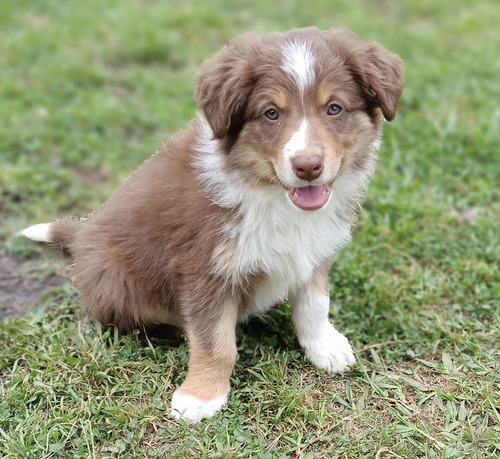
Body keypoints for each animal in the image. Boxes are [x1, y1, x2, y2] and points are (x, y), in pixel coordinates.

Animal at [21, 27, 404, 424]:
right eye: (271, 113)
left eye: (334, 108)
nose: (308, 166)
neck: (270, 195)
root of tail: (85, 232)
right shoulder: (206, 269)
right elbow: (215, 342)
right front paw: (201, 396)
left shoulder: (314, 249)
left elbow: (315, 305)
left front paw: (324, 347)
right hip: (111, 279)